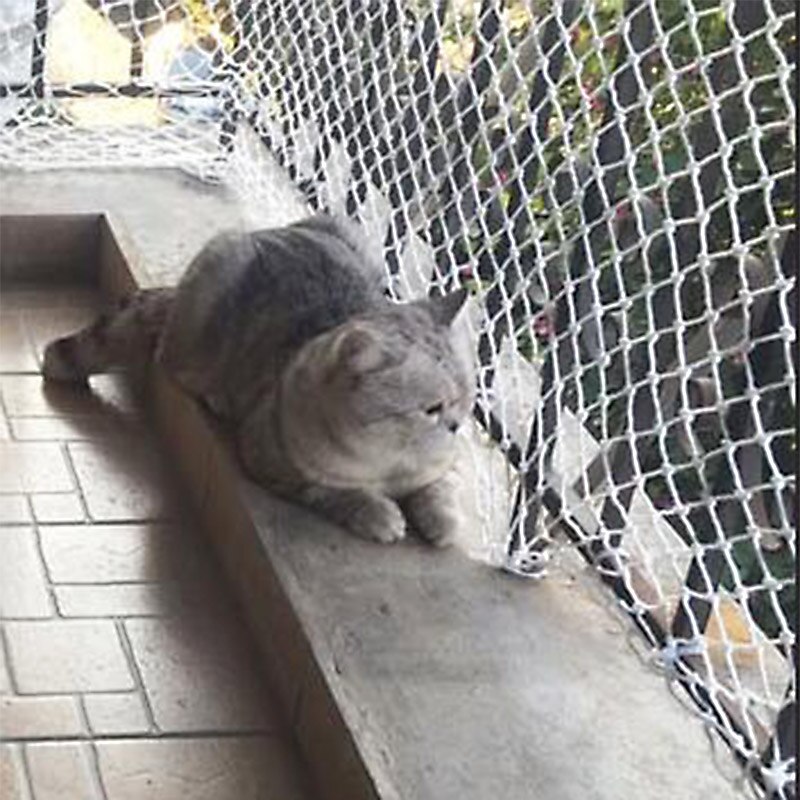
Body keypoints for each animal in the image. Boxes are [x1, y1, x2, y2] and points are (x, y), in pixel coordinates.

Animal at [43, 216, 476, 548]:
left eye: (466, 401)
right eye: (431, 409)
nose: (455, 426)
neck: (387, 462)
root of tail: (268, 231)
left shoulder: (442, 467)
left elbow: (439, 489)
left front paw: (443, 520)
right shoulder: (271, 458)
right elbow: (336, 493)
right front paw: (379, 514)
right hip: (209, 293)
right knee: (169, 356)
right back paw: (215, 394)